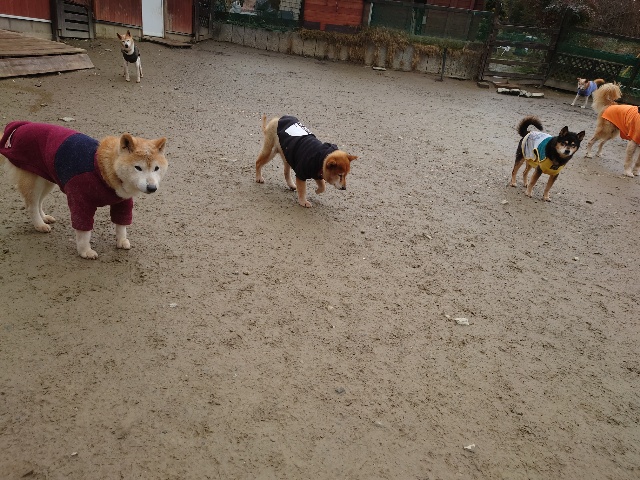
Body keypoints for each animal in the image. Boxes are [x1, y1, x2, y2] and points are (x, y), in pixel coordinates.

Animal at [0, 121, 168, 259]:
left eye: (156, 168)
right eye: (138, 168)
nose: (152, 187)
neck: (104, 170)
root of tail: (18, 128)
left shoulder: (122, 201)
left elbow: (122, 225)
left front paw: (121, 240)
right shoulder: (80, 199)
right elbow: (84, 231)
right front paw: (85, 251)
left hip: (47, 179)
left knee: (39, 202)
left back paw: (44, 217)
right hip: (34, 181)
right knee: (32, 205)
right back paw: (39, 224)